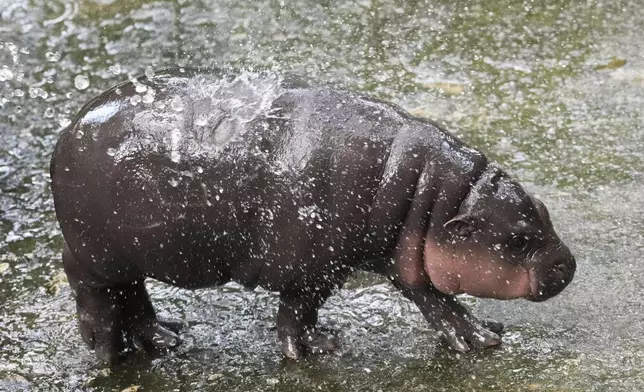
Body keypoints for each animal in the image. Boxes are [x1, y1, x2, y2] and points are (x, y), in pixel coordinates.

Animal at [49, 67, 572, 364]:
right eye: (519, 239)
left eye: (544, 211)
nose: (568, 264)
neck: (431, 196)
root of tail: (69, 130)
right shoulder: (314, 267)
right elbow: (297, 311)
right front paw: (317, 349)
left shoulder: (405, 258)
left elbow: (437, 302)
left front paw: (482, 337)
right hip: (96, 255)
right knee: (94, 292)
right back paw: (108, 354)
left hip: (127, 256)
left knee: (133, 294)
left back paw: (167, 338)